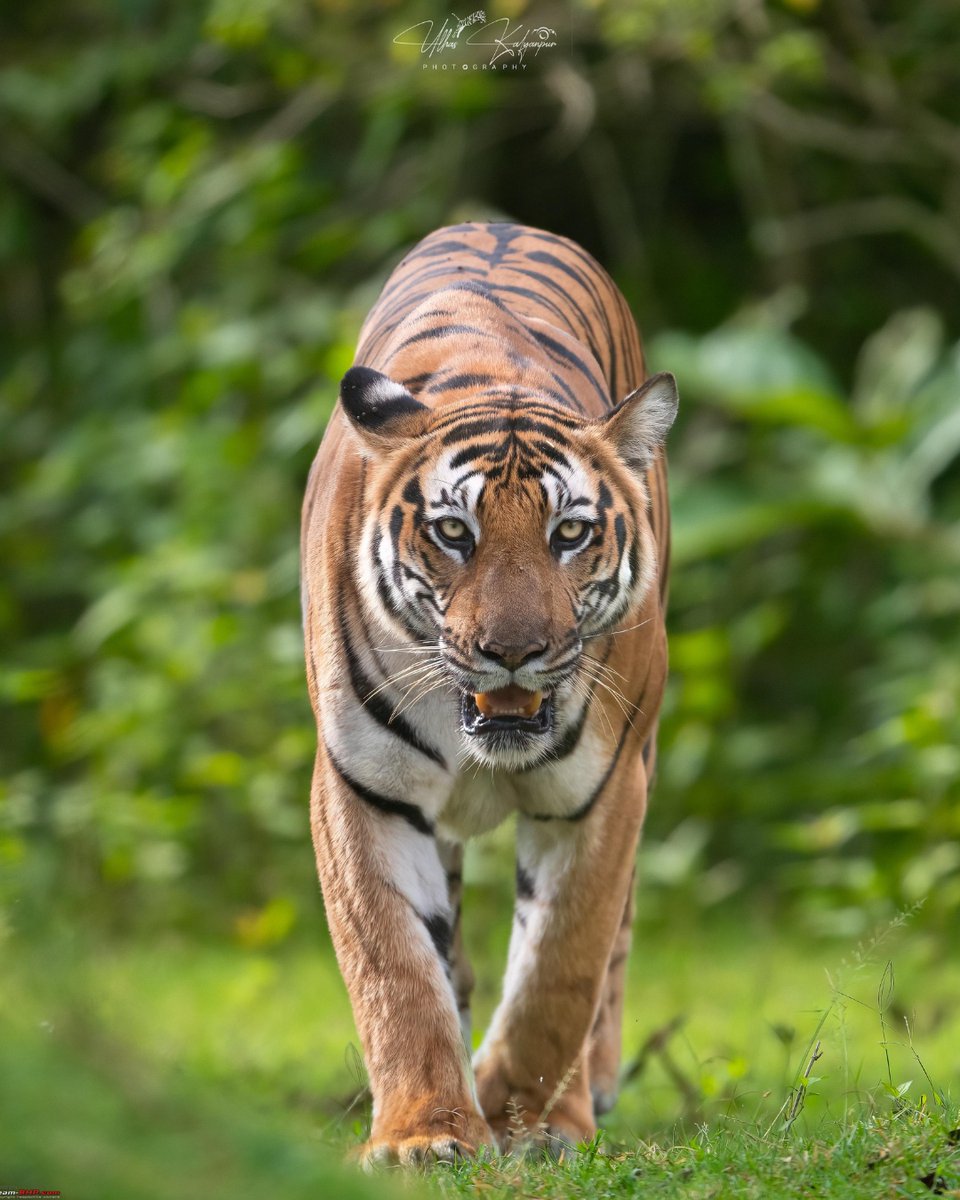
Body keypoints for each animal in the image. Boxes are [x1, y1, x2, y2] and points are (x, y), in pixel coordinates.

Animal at [300, 221, 676, 1165]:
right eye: (452, 533)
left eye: (569, 533)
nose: (512, 652)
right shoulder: (363, 787)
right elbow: (397, 968)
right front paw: (424, 1132)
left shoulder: (601, 792)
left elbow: (560, 969)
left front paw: (524, 1118)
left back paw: (583, 1095)